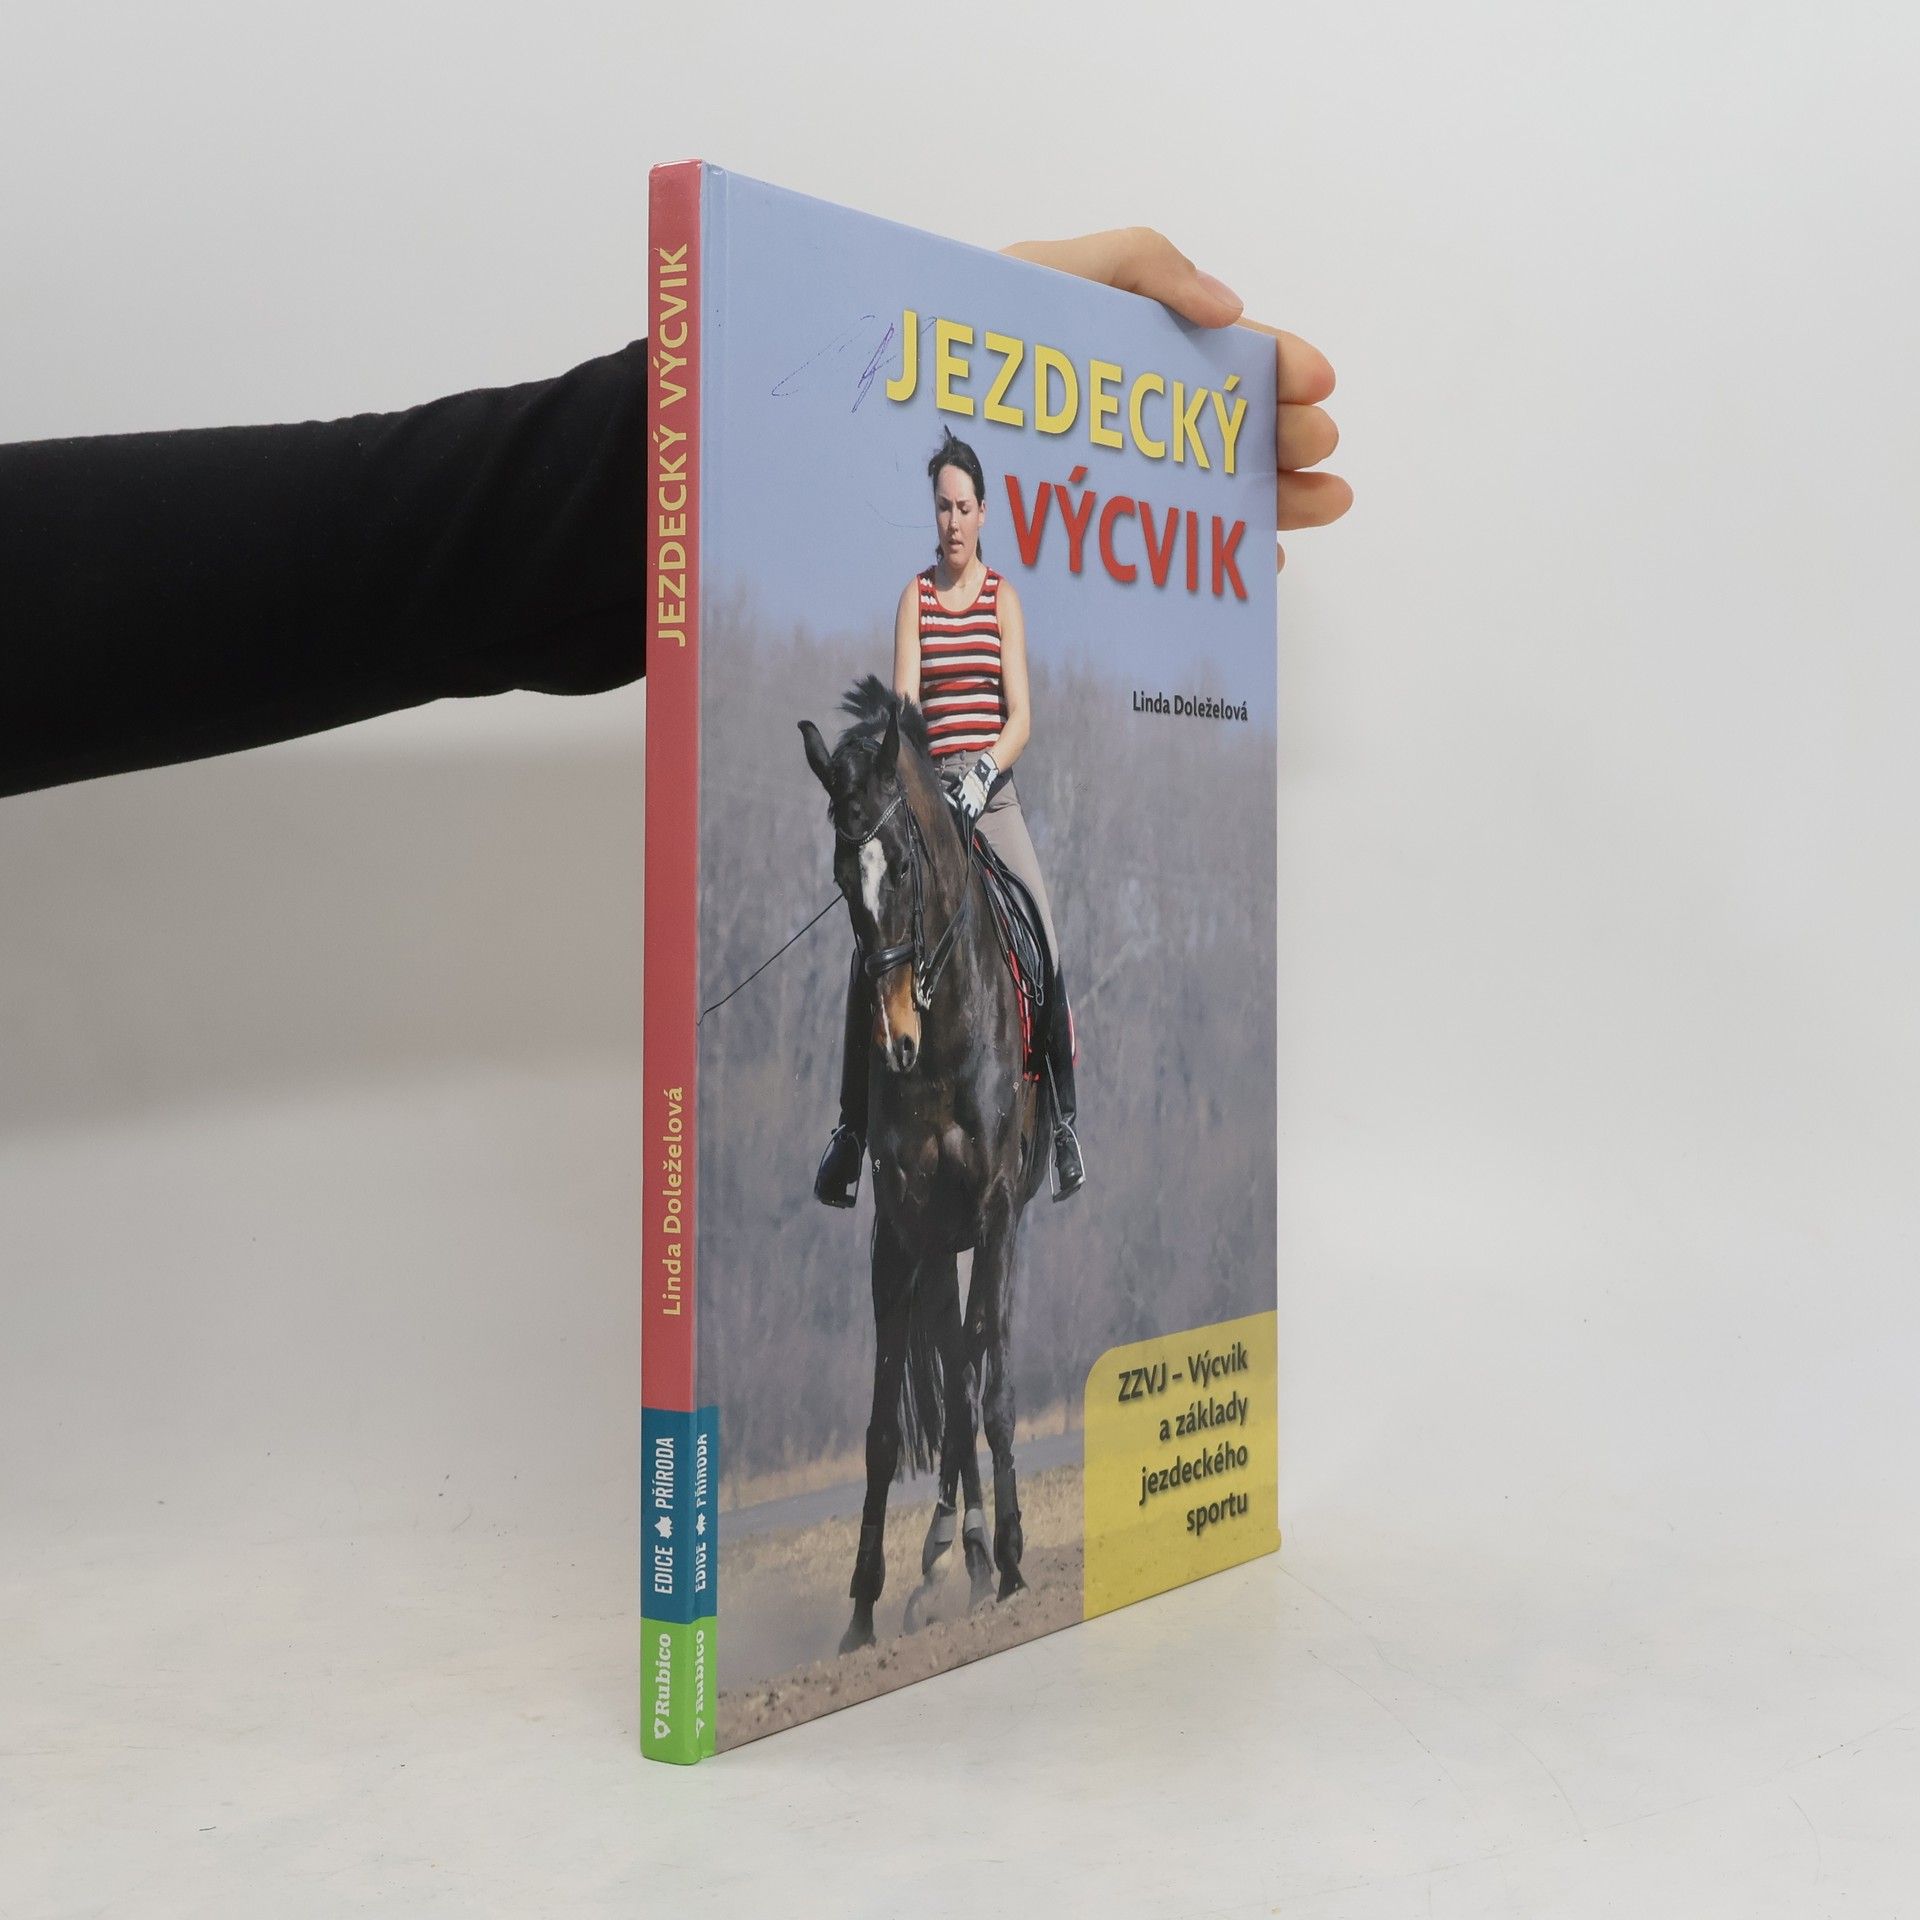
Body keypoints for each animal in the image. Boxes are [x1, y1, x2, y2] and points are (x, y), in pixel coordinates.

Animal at [799, 675, 1054, 1654]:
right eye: (842, 877)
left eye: (904, 868)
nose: (895, 1043)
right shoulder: (904, 1227)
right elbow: (884, 1423)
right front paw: (862, 1614)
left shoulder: (994, 1208)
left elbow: (985, 1388)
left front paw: (1012, 1562)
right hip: (941, 1241)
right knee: (951, 1362)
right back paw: (954, 1552)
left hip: (994, 1229)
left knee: (978, 1365)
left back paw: (979, 1553)